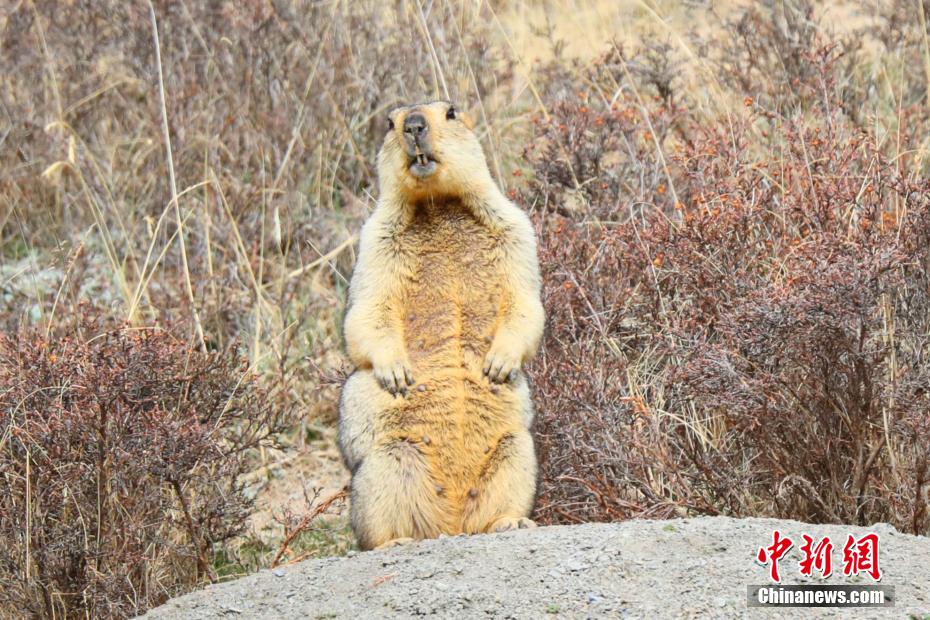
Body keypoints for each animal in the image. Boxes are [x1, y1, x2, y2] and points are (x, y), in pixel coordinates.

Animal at [338, 100, 544, 550]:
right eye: (389, 122)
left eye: (451, 112)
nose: (414, 126)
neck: (438, 205)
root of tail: (451, 526)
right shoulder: (373, 241)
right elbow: (369, 309)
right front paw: (396, 370)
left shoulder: (517, 227)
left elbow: (525, 298)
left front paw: (499, 362)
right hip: (387, 462)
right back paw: (395, 541)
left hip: (515, 450)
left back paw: (510, 522)